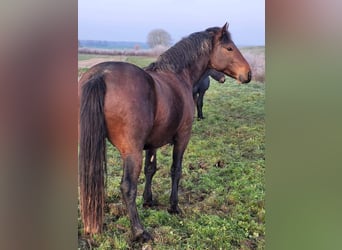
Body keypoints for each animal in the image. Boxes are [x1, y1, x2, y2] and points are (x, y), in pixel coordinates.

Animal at [78, 23, 251, 242]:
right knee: (127, 187)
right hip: (132, 152)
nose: (248, 74)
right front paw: (173, 206)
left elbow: (150, 169)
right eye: (229, 48)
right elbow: (175, 170)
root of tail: (100, 75)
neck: (178, 75)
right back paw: (139, 231)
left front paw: (148, 200)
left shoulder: (153, 142)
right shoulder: (182, 137)